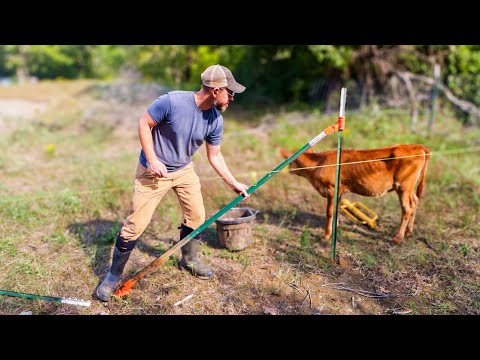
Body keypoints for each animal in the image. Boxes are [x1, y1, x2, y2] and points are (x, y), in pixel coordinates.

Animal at [280, 144, 430, 245]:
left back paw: (398, 238)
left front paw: (326, 236)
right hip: (408, 189)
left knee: (407, 209)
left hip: (403, 187)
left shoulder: (331, 188)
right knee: (415, 202)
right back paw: (408, 232)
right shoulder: (339, 190)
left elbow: (329, 212)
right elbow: (336, 210)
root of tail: (416, 146)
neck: (318, 164)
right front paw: (335, 229)